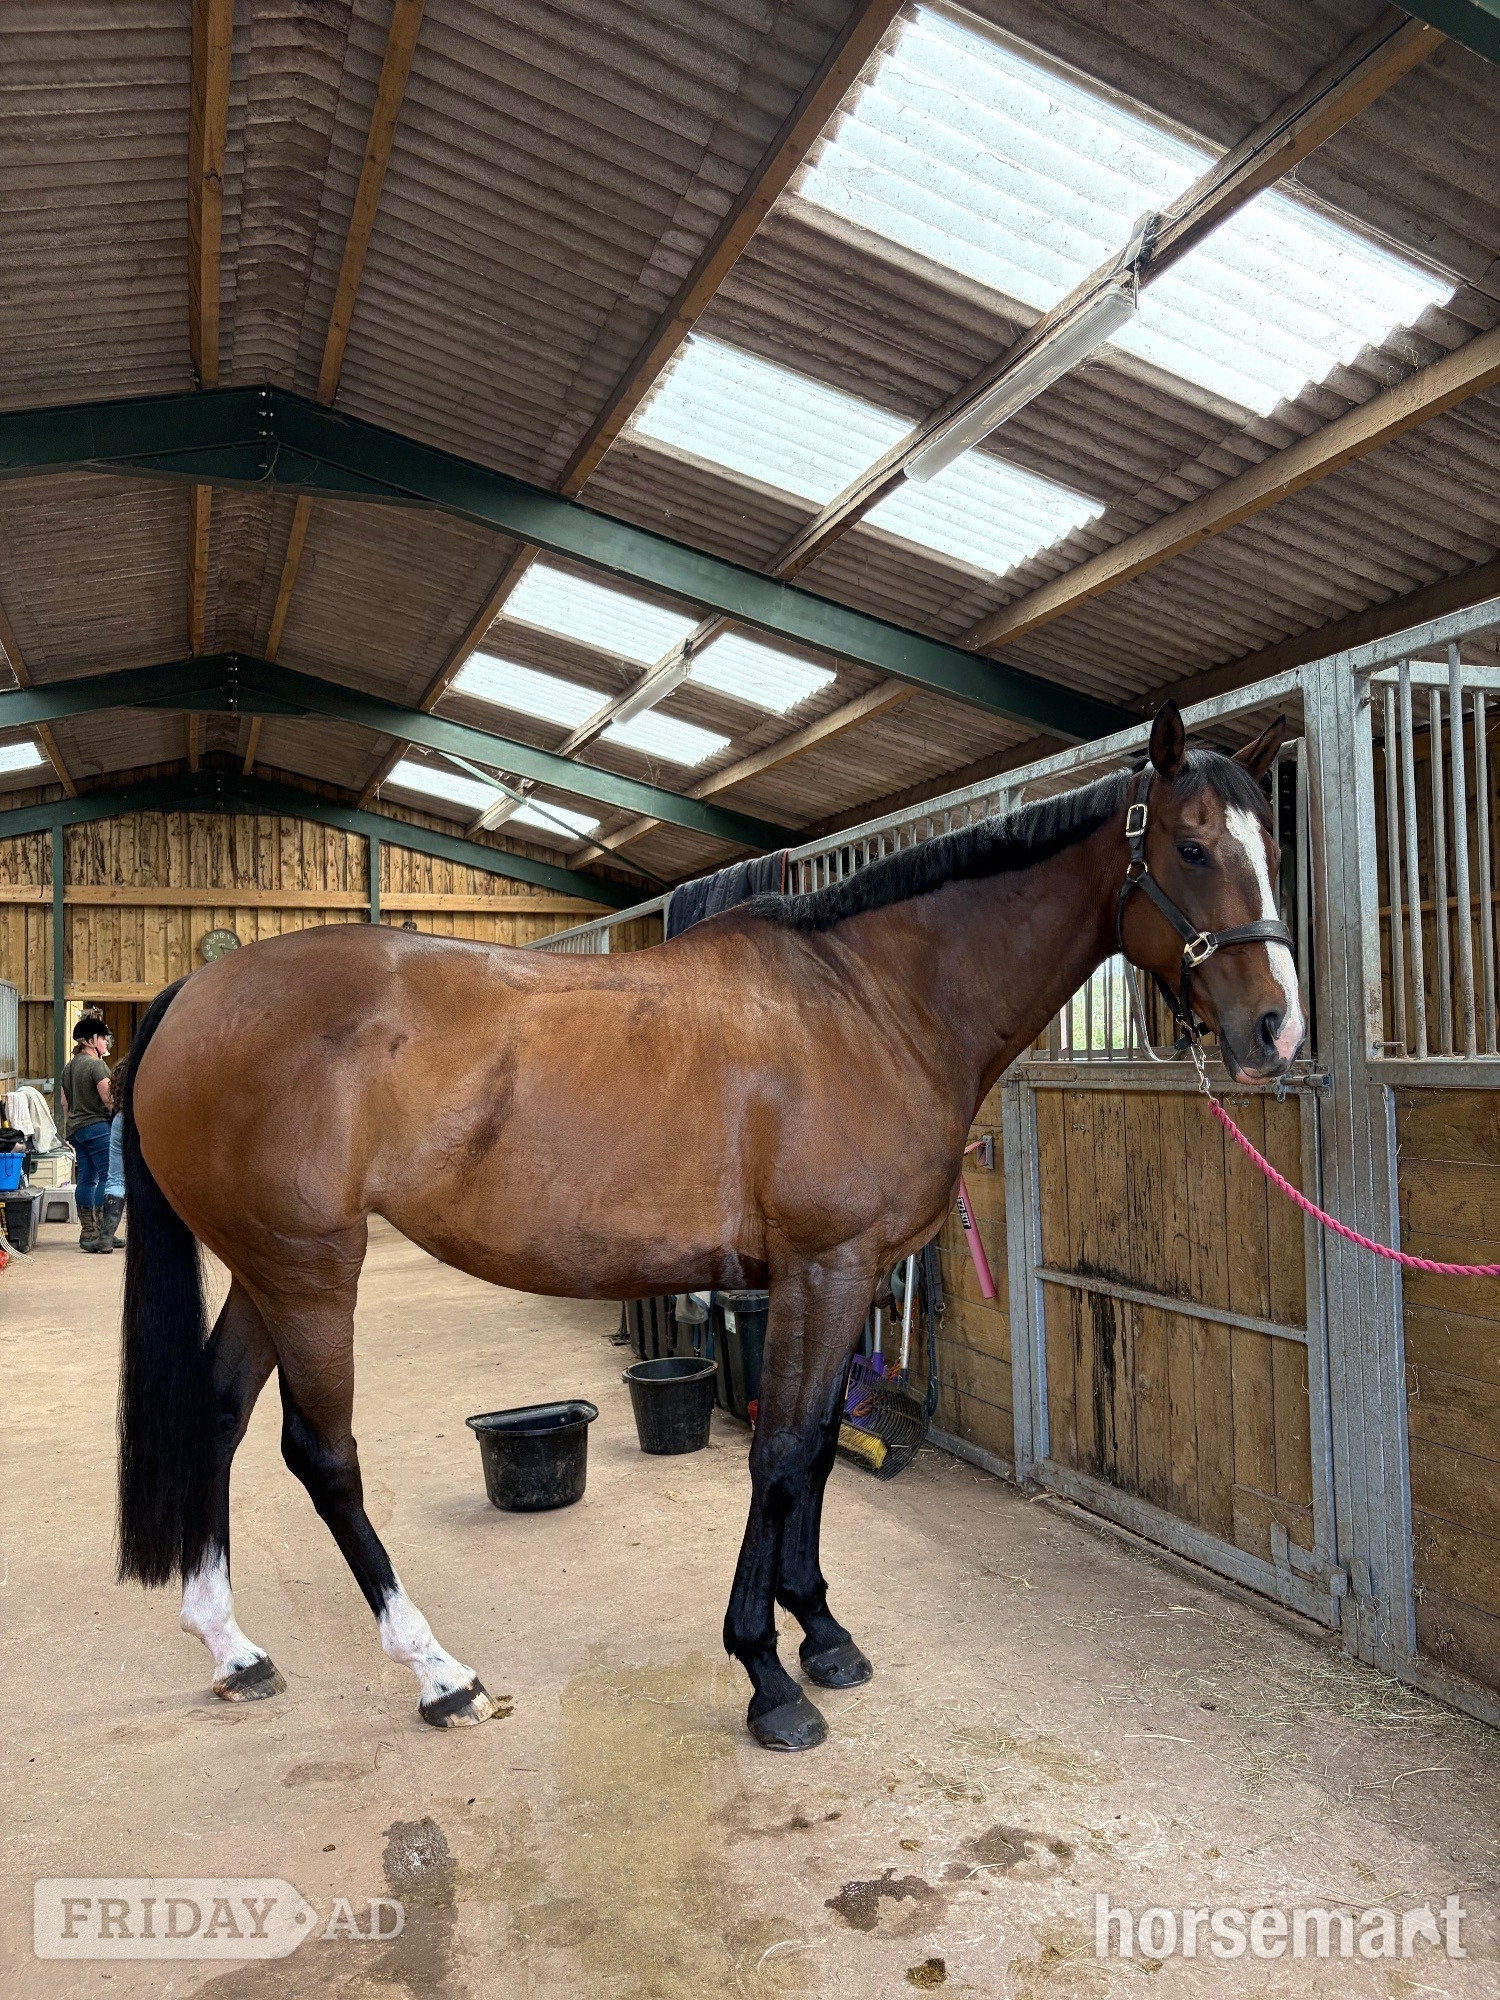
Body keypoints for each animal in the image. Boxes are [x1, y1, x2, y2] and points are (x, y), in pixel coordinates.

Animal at [116, 700, 1303, 1752]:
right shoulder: (824, 1267)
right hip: (311, 1269)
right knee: (322, 1454)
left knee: (217, 1411)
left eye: (1273, 845)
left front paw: (821, 1631)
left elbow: (817, 1448)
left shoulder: (836, 1277)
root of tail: (195, 992)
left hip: (267, 1269)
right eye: (1193, 846)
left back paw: (234, 1648)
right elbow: (776, 1454)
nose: (1277, 1030)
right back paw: (441, 1674)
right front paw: (768, 1676)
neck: (872, 1003)